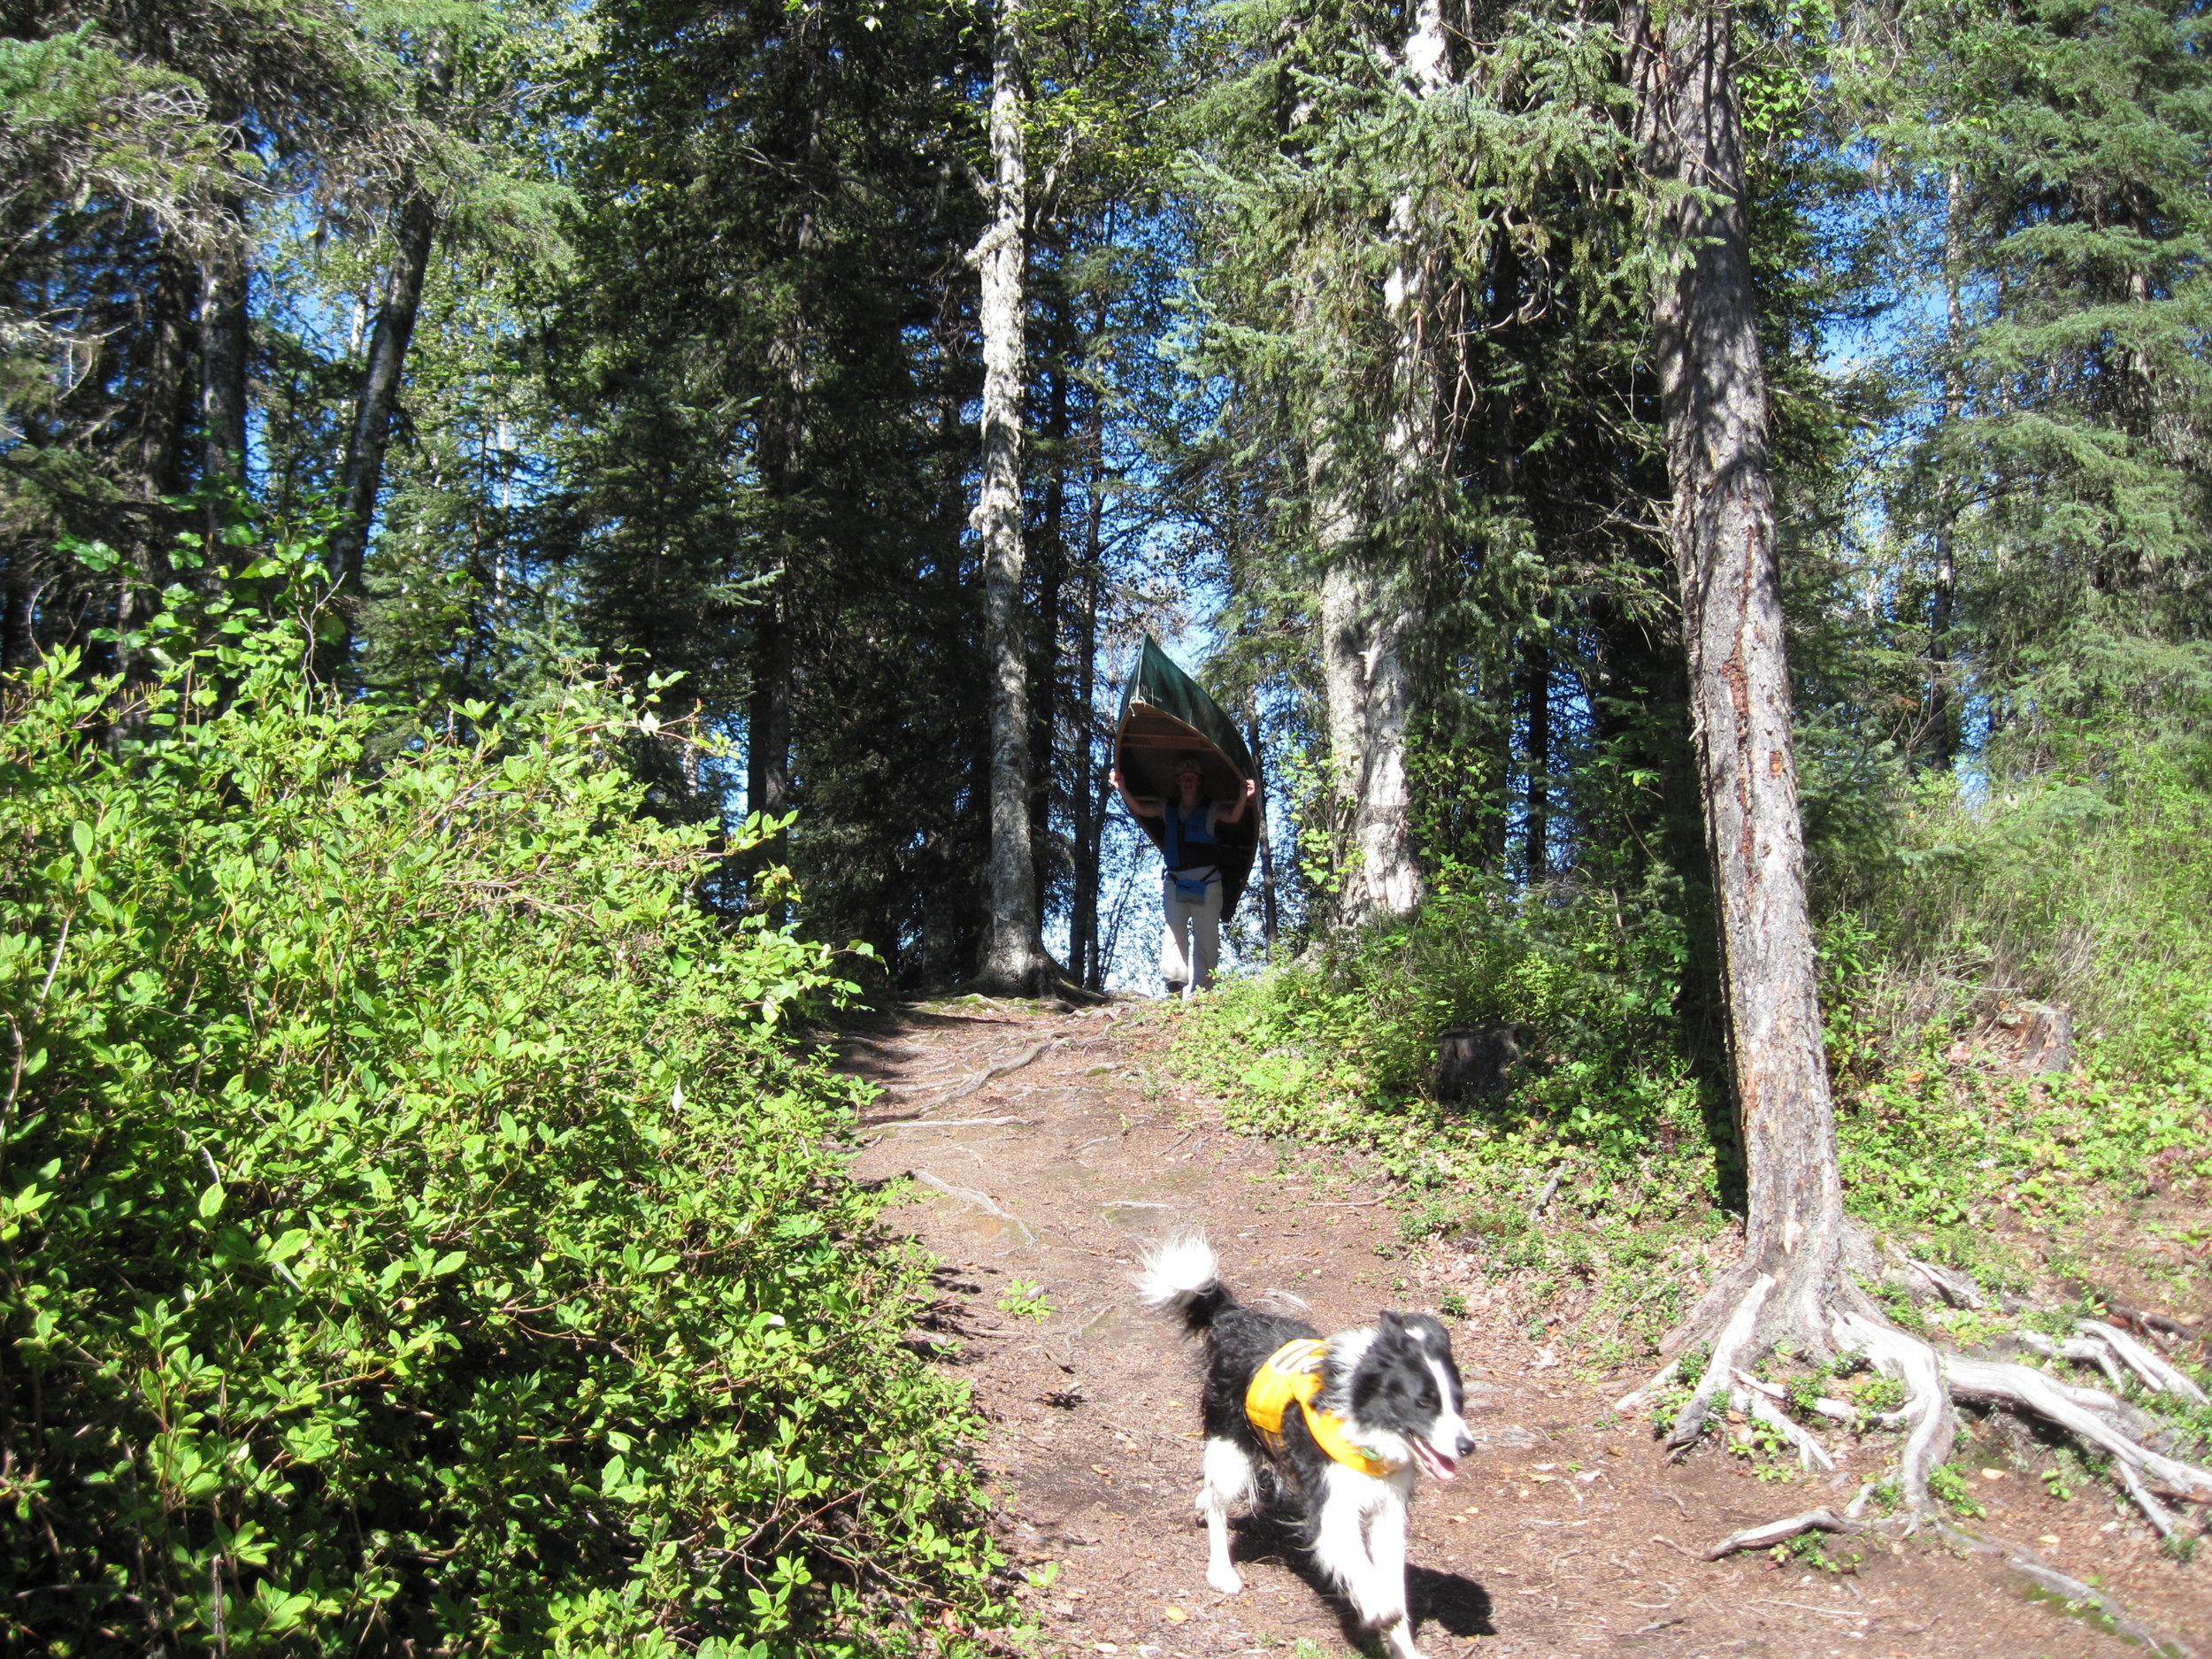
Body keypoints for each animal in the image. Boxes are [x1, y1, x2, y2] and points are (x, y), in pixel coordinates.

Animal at [1133, 1239, 1478, 1659]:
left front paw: (1403, 1644)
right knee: (1217, 1503)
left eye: (1458, 1402)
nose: (1467, 1446)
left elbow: (1392, 1583)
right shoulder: (1333, 1507)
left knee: (1210, 1493)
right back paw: (1222, 1570)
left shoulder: (1388, 1512)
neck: (1362, 1419)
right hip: (1231, 1448)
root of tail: (1235, 1317)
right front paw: (1378, 1609)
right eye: (1424, 1402)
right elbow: (1365, 1573)